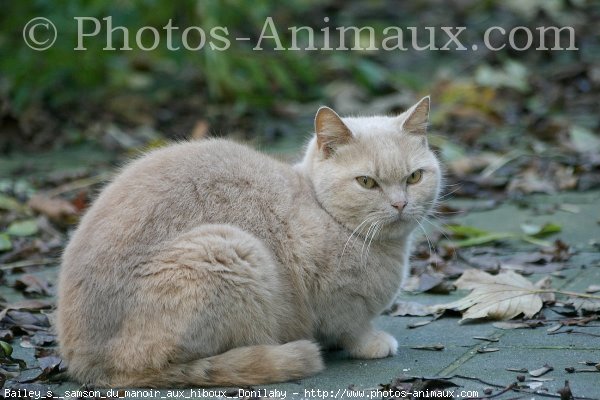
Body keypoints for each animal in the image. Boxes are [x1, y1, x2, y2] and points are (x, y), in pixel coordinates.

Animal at [56, 97, 440, 388]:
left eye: (414, 177)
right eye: (366, 182)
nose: (400, 204)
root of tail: (85, 364)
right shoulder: (335, 298)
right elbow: (350, 327)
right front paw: (372, 343)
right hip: (228, 249)